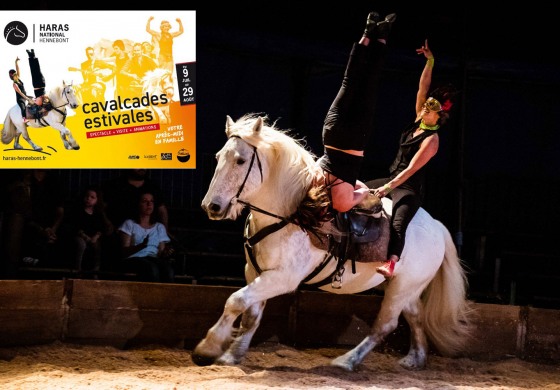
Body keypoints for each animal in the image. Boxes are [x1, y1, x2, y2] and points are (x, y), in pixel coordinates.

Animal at [192, 113, 472, 372]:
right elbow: (250, 315)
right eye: (218, 157)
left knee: (385, 325)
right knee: (415, 317)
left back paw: (347, 361)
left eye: (240, 160)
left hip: (402, 288)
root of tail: (437, 227)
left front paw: (208, 347)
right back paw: (415, 358)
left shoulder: (282, 278)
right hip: (404, 287)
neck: (292, 215)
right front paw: (232, 354)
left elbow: (236, 301)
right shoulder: (254, 272)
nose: (211, 206)